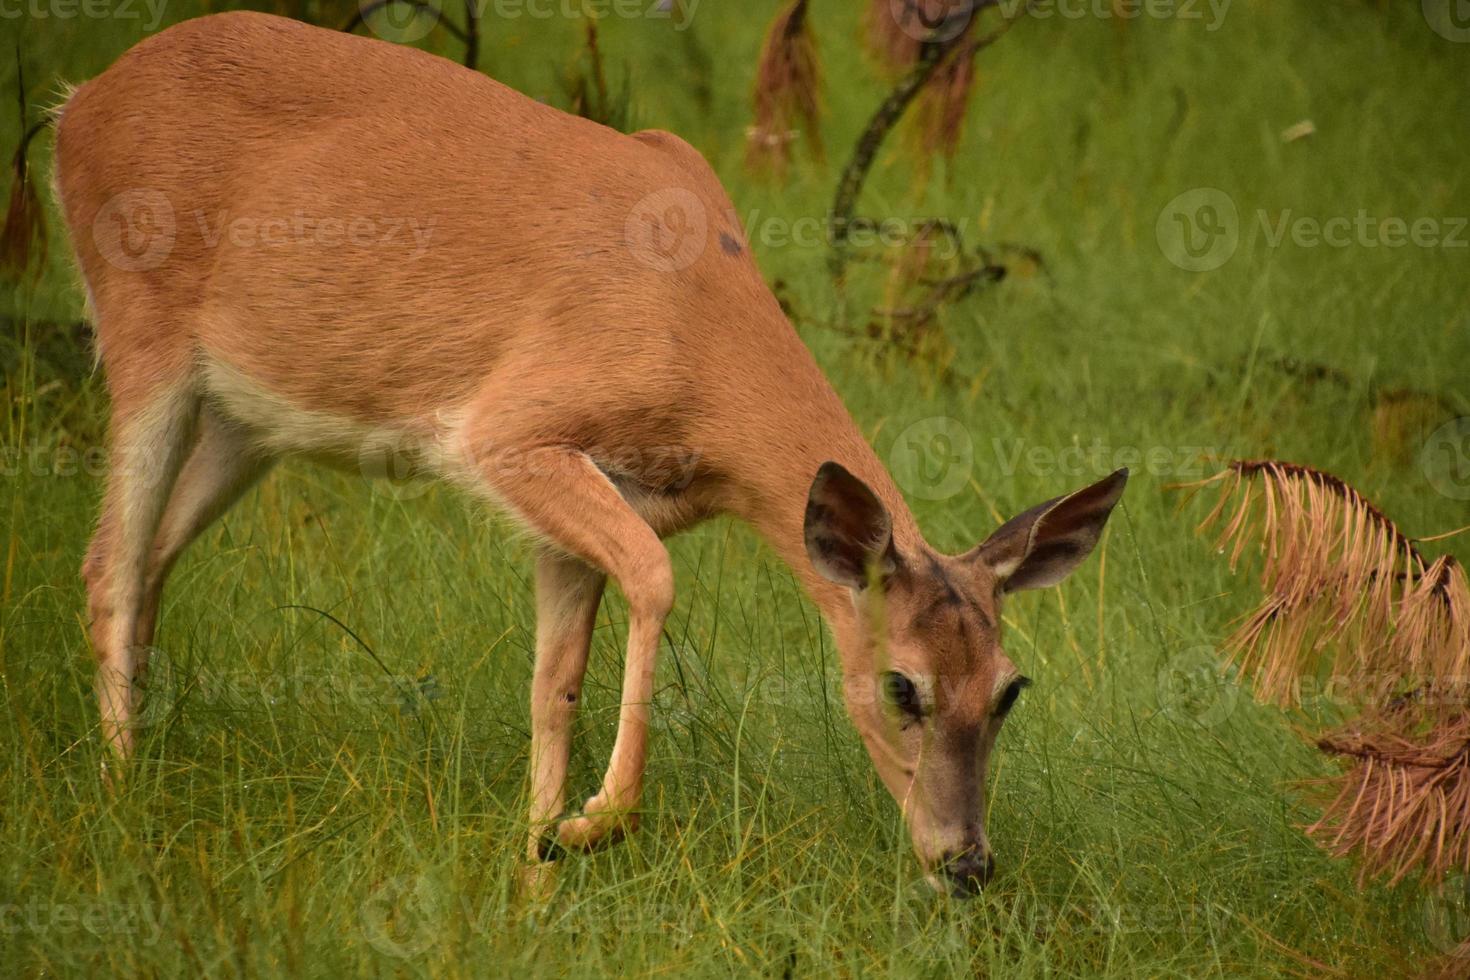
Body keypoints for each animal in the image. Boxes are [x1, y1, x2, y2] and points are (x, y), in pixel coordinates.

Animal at [48, 11, 1123, 899]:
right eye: (903, 685)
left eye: (1011, 689)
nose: (969, 864)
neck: (697, 338)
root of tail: (76, 104)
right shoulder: (507, 429)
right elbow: (654, 582)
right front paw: (593, 826)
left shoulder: (592, 505)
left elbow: (552, 684)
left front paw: (536, 867)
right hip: (142, 332)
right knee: (107, 562)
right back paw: (119, 796)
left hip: (246, 418)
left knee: (153, 559)